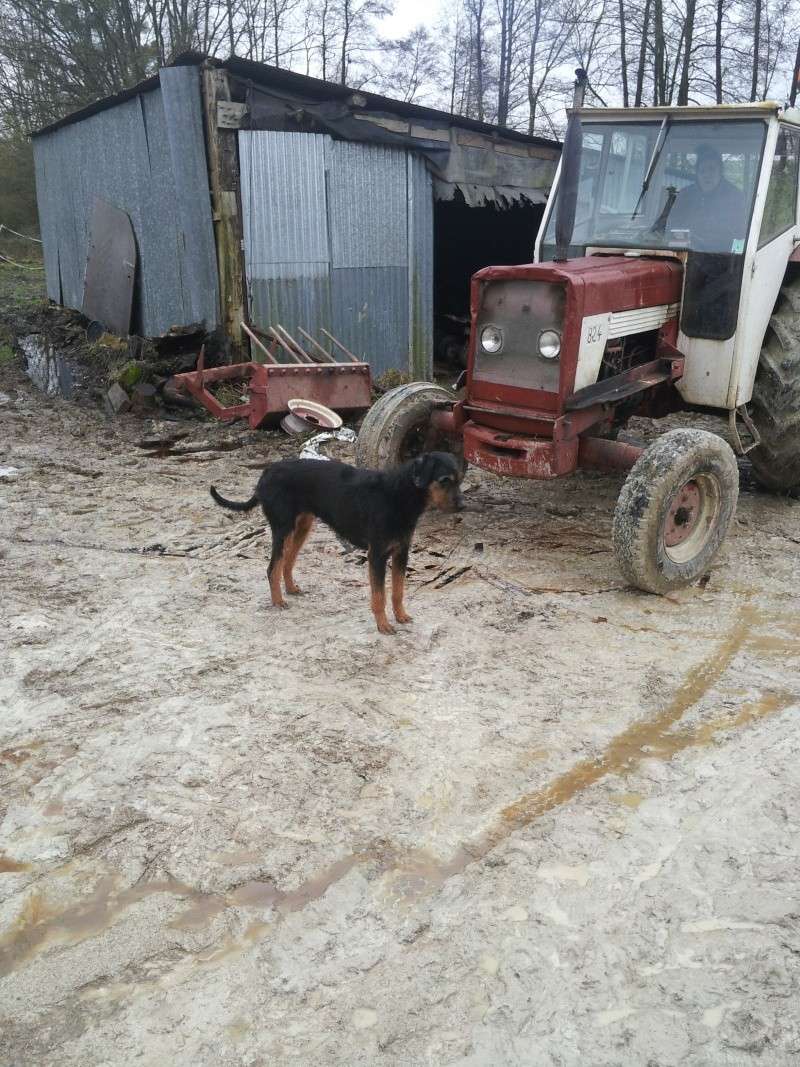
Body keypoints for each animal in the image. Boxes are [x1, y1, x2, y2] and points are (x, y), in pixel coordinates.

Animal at [210, 450, 467, 631]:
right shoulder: (377, 555)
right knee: (273, 567)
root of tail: (266, 472)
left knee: (287, 562)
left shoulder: (401, 552)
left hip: (302, 527)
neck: (399, 494)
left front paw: (401, 616)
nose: (463, 506)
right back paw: (278, 601)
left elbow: (397, 591)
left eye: (459, 480)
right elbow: (379, 596)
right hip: (282, 528)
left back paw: (291, 589)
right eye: (444, 480)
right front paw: (383, 625)